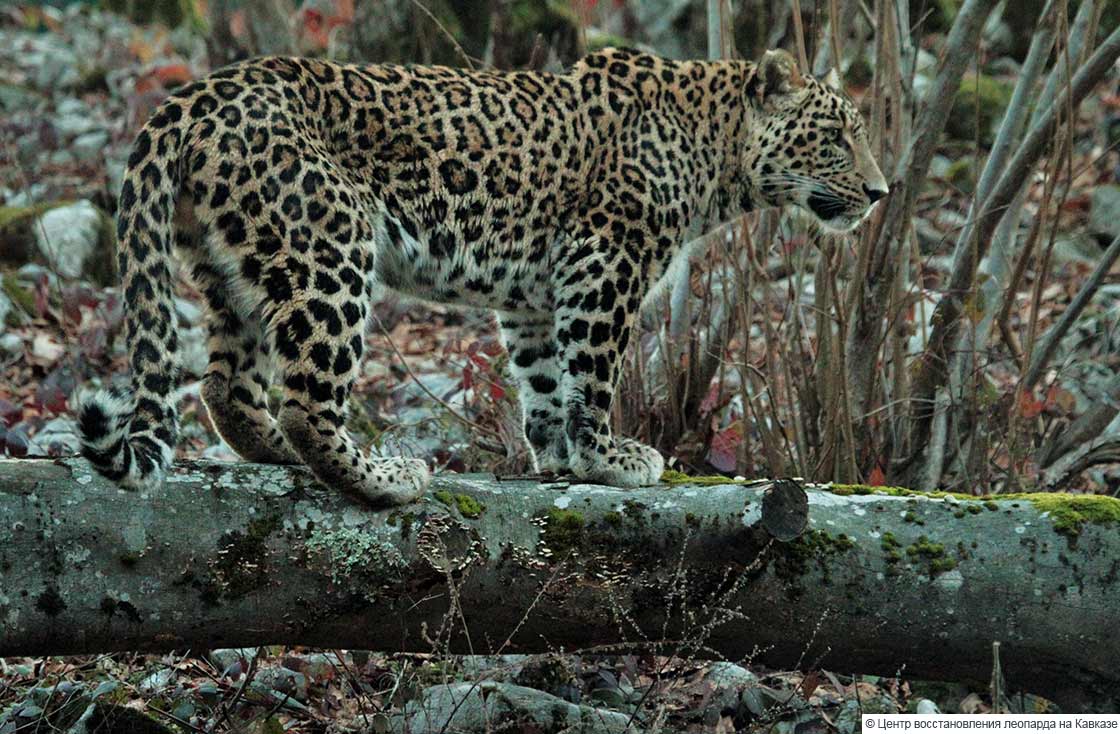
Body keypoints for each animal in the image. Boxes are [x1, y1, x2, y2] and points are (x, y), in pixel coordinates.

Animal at [74, 44, 887, 506]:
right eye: (836, 136)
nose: (882, 193)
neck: (719, 157)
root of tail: (196, 94)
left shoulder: (536, 295)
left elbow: (547, 379)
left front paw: (561, 458)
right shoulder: (607, 256)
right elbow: (594, 373)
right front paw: (609, 457)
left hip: (231, 265)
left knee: (226, 387)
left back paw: (275, 451)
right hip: (329, 246)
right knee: (309, 399)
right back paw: (383, 480)